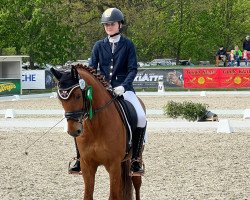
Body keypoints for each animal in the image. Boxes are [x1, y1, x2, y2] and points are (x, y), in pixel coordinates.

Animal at [50, 64, 145, 200]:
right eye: (60, 99)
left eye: (78, 96)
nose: (73, 130)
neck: (96, 127)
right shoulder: (87, 165)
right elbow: (88, 196)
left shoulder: (113, 165)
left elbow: (113, 196)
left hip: (136, 157)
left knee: (137, 184)